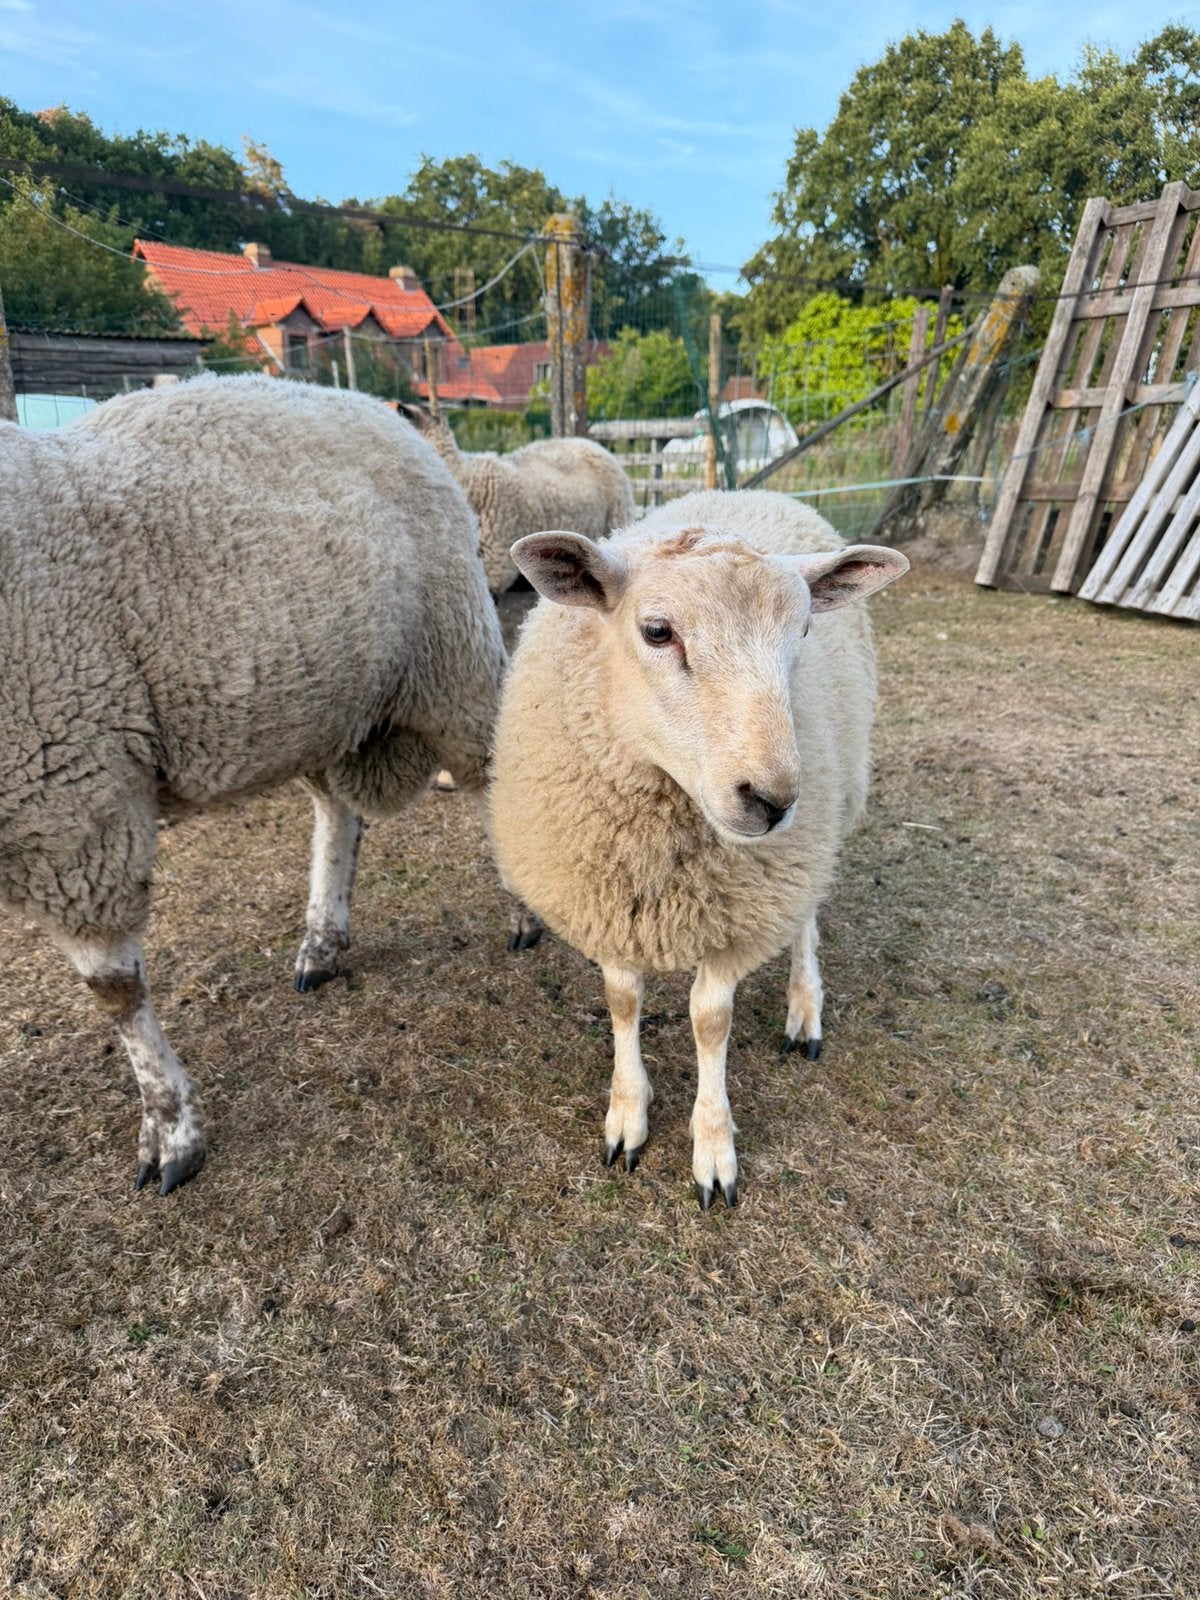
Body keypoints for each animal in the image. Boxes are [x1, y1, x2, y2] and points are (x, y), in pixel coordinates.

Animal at [0, 373, 510, 1195]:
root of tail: (367, 402)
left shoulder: (71, 804)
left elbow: (114, 990)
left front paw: (171, 1132)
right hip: (323, 700)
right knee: (338, 814)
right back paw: (321, 945)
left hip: (449, 659)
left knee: (490, 773)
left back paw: (523, 912)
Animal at [488, 489, 909, 1209]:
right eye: (658, 632)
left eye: (802, 632)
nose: (771, 800)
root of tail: (758, 492)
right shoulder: (605, 900)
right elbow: (622, 1002)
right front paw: (627, 1114)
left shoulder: (743, 913)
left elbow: (710, 1021)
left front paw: (713, 1147)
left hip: (824, 822)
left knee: (806, 914)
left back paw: (805, 1008)